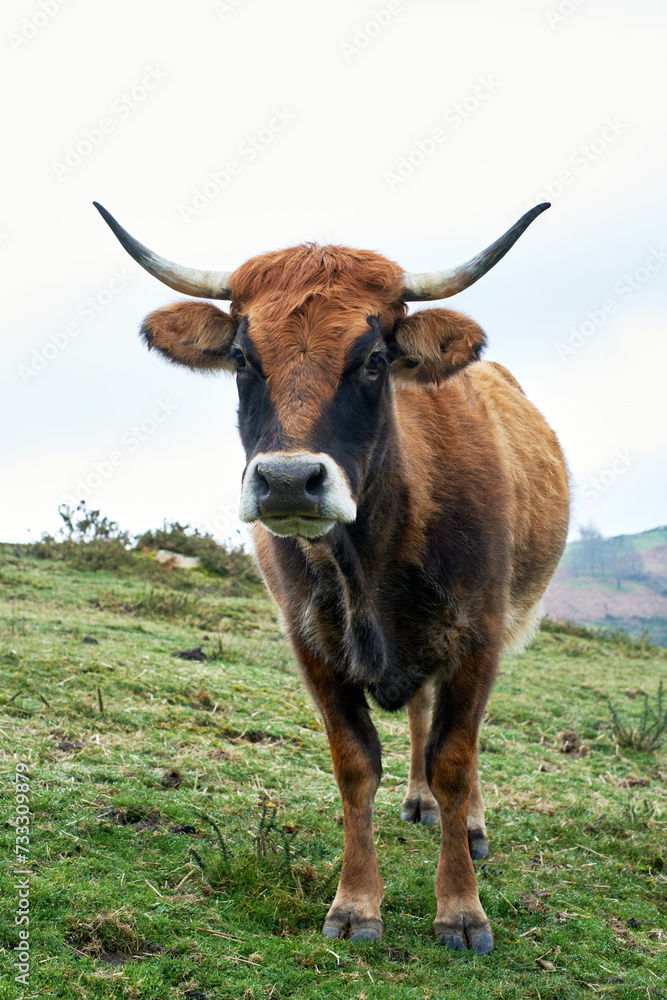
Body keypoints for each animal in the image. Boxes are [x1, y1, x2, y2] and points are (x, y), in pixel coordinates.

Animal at [95, 201, 569, 954]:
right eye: (241, 357)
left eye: (373, 360)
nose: (289, 479)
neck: (370, 556)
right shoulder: (311, 641)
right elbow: (355, 762)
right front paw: (356, 902)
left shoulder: (478, 635)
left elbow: (456, 759)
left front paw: (461, 909)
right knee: (418, 716)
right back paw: (418, 801)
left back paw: (466, 825)